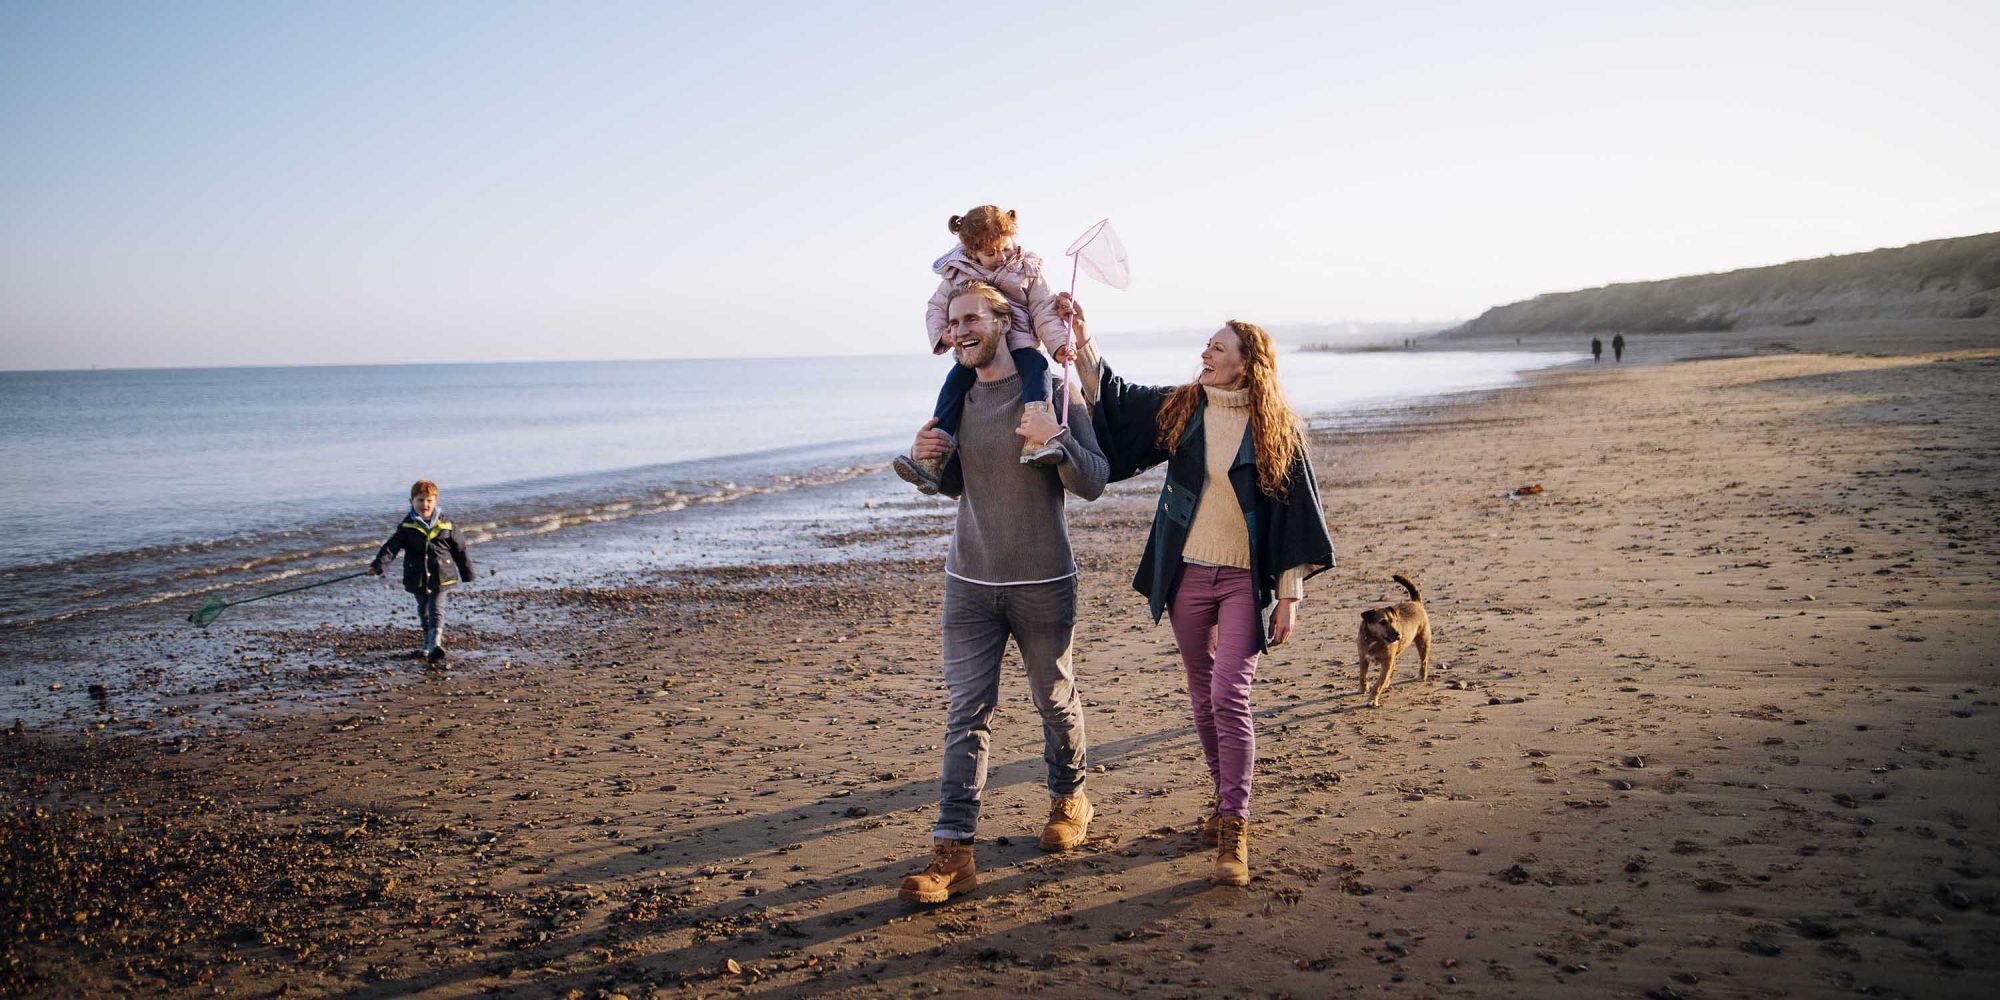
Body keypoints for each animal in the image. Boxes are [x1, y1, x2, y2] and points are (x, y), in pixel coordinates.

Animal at [1352, 576, 1432, 708]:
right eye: (1382, 622)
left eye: (1394, 621)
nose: (1398, 634)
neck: (1375, 639)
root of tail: (1415, 602)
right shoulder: (1363, 658)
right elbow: (1362, 676)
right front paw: (1362, 689)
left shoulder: (1386, 663)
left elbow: (1377, 685)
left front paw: (1372, 700)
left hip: (1423, 641)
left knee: (1424, 661)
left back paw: (1421, 675)